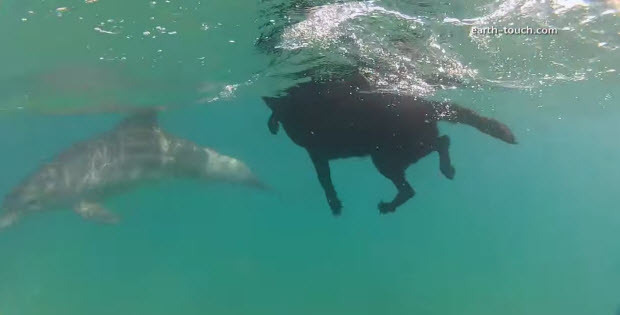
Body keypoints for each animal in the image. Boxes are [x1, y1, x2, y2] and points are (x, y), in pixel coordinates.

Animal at [264, 75, 516, 216]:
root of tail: (428, 104)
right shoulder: (317, 153)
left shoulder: (315, 152)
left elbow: (324, 182)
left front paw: (334, 204)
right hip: (400, 152)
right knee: (440, 144)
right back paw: (447, 170)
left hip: (386, 157)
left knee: (413, 183)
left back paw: (391, 204)